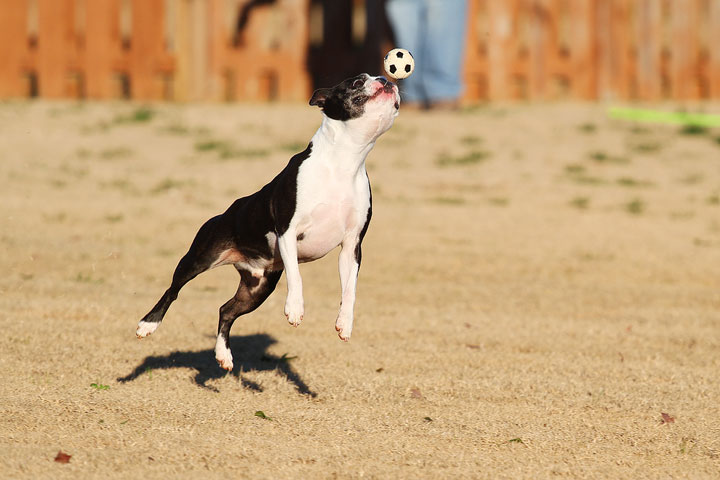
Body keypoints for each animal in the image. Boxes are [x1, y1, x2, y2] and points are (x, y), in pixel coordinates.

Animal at [136, 73, 400, 372]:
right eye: (356, 82)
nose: (385, 78)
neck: (343, 163)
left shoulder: (352, 246)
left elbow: (350, 289)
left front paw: (345, 323)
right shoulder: (288, 231)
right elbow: (296, 275)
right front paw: (295, 308)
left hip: (257, 288)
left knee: (226, 310)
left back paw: (224, 355)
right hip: (200, 257)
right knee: (173, 290)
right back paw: (147, 325)